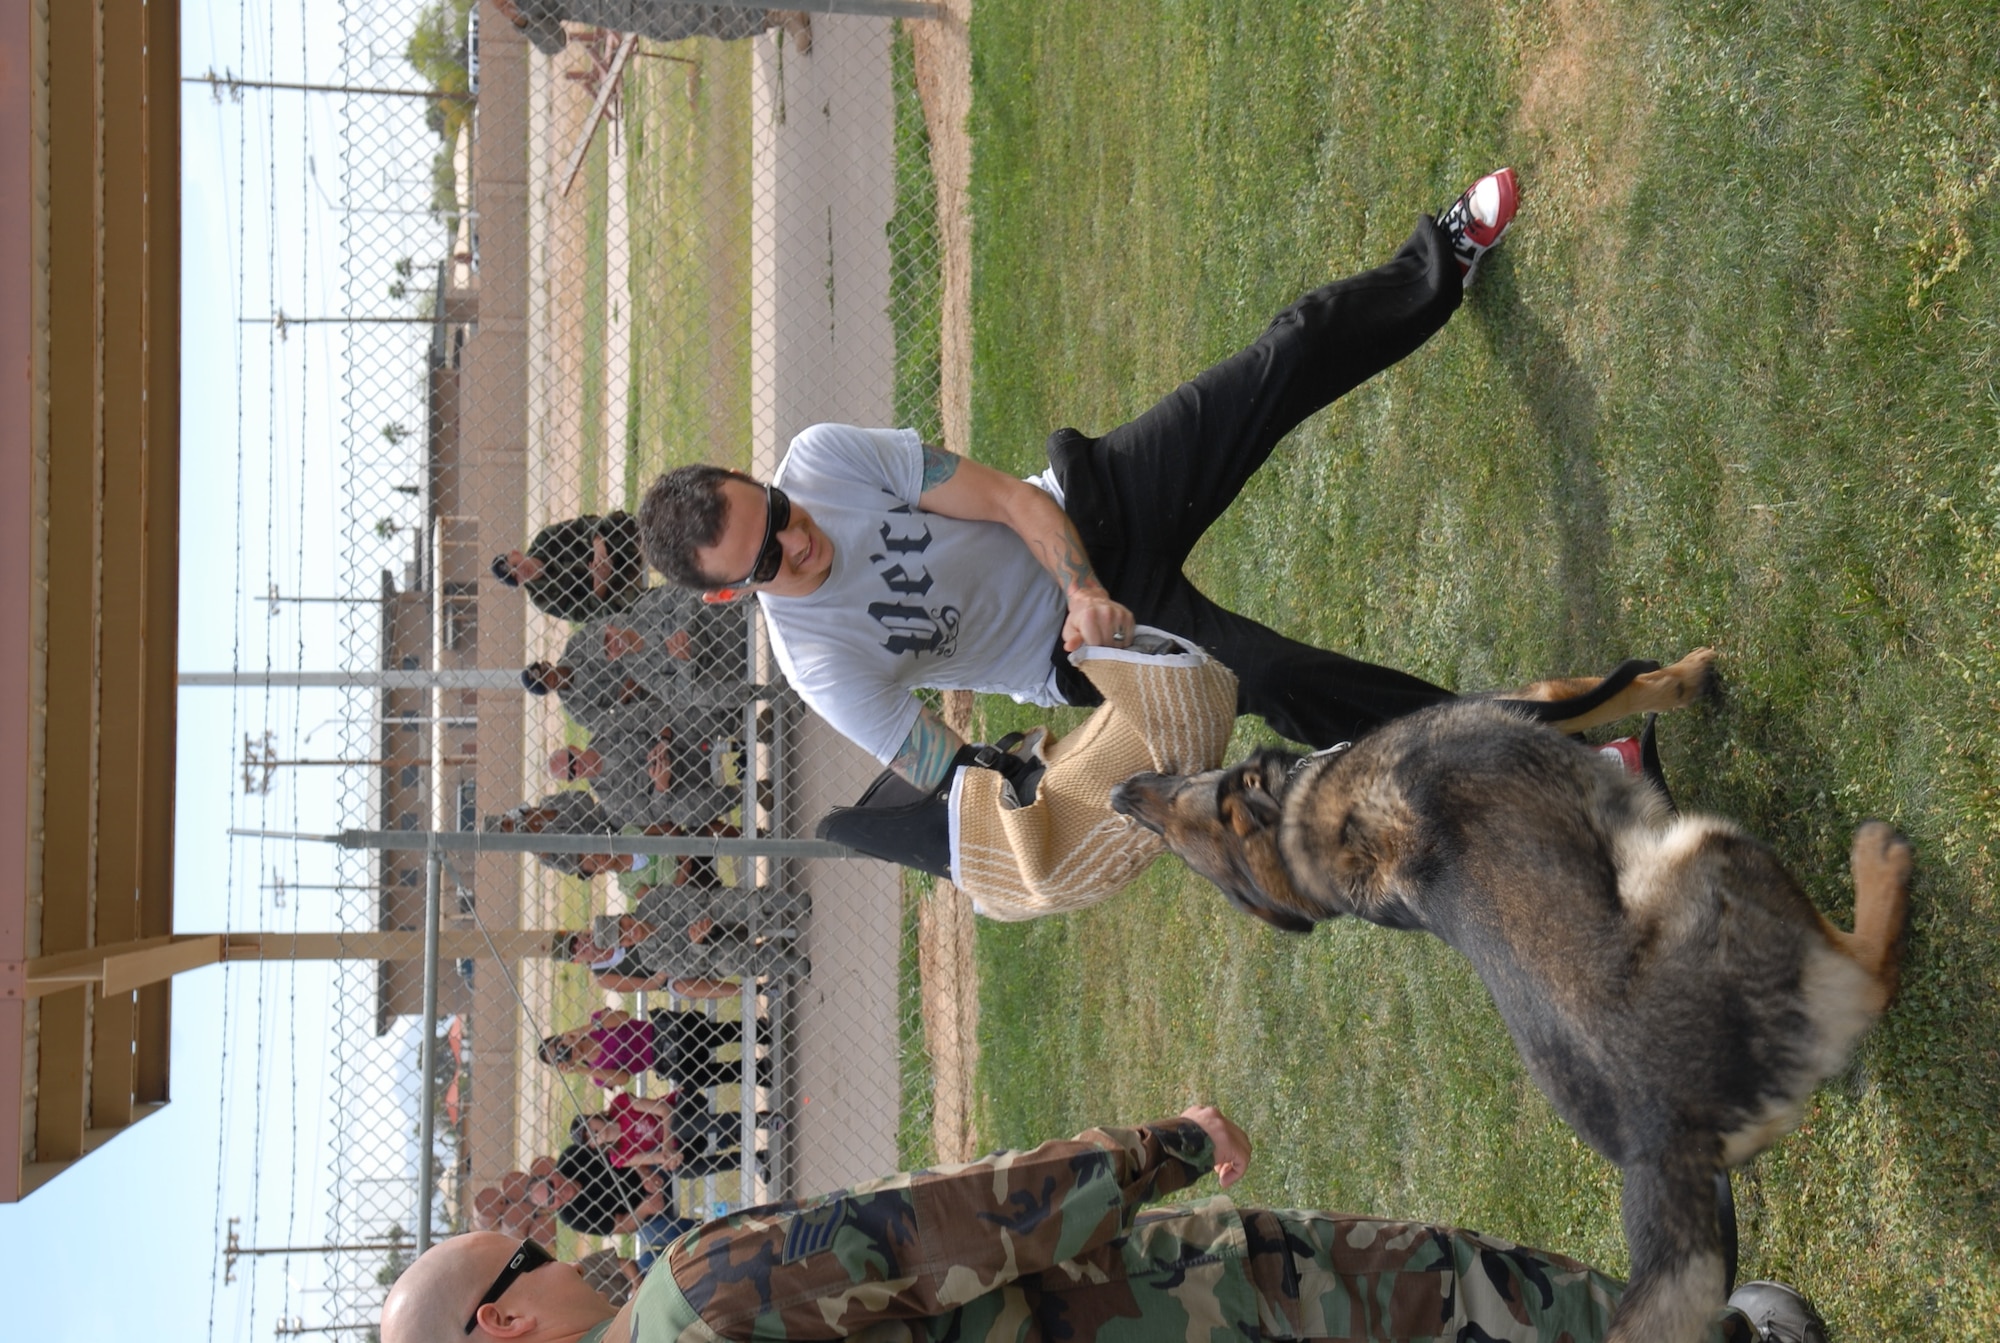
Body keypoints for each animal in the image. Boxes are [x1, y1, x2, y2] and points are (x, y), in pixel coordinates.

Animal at [1112, 683, 1904, 1343]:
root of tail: (1665, 1137)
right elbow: (1609, 694)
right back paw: (1880, 865)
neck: (1297, 823)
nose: (1122, 790)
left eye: (1172, 809)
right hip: (1711, 850)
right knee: (1871, 974)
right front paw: (1683, 681)